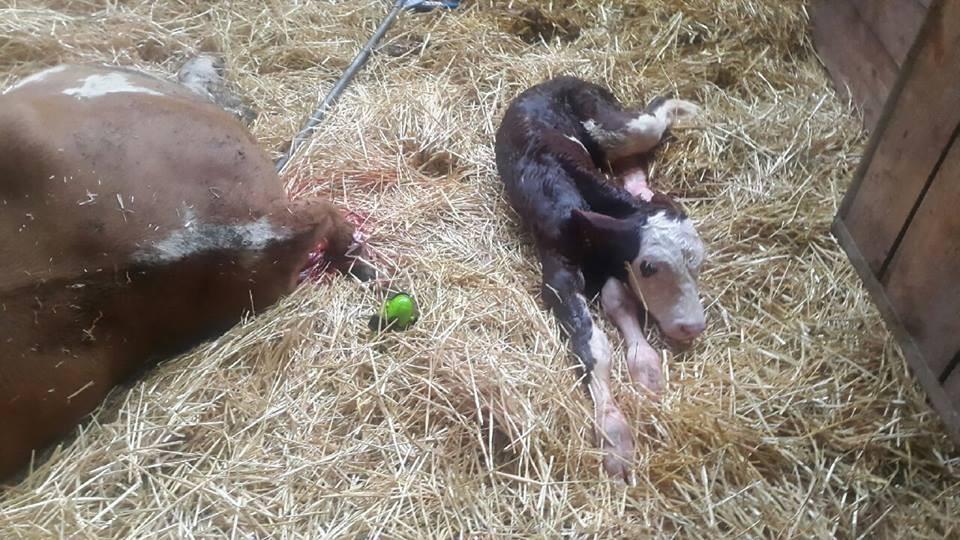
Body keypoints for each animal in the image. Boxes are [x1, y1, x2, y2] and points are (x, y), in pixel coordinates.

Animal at [494, 76, 706, 481]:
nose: (692, 327)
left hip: (623, 130)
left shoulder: (611, 261)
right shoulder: (559, 275)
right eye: (648, 267)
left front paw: (646, 371)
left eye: (699, 262)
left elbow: (618, 302)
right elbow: (595, 346)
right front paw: (615, 438)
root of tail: (558, 79)